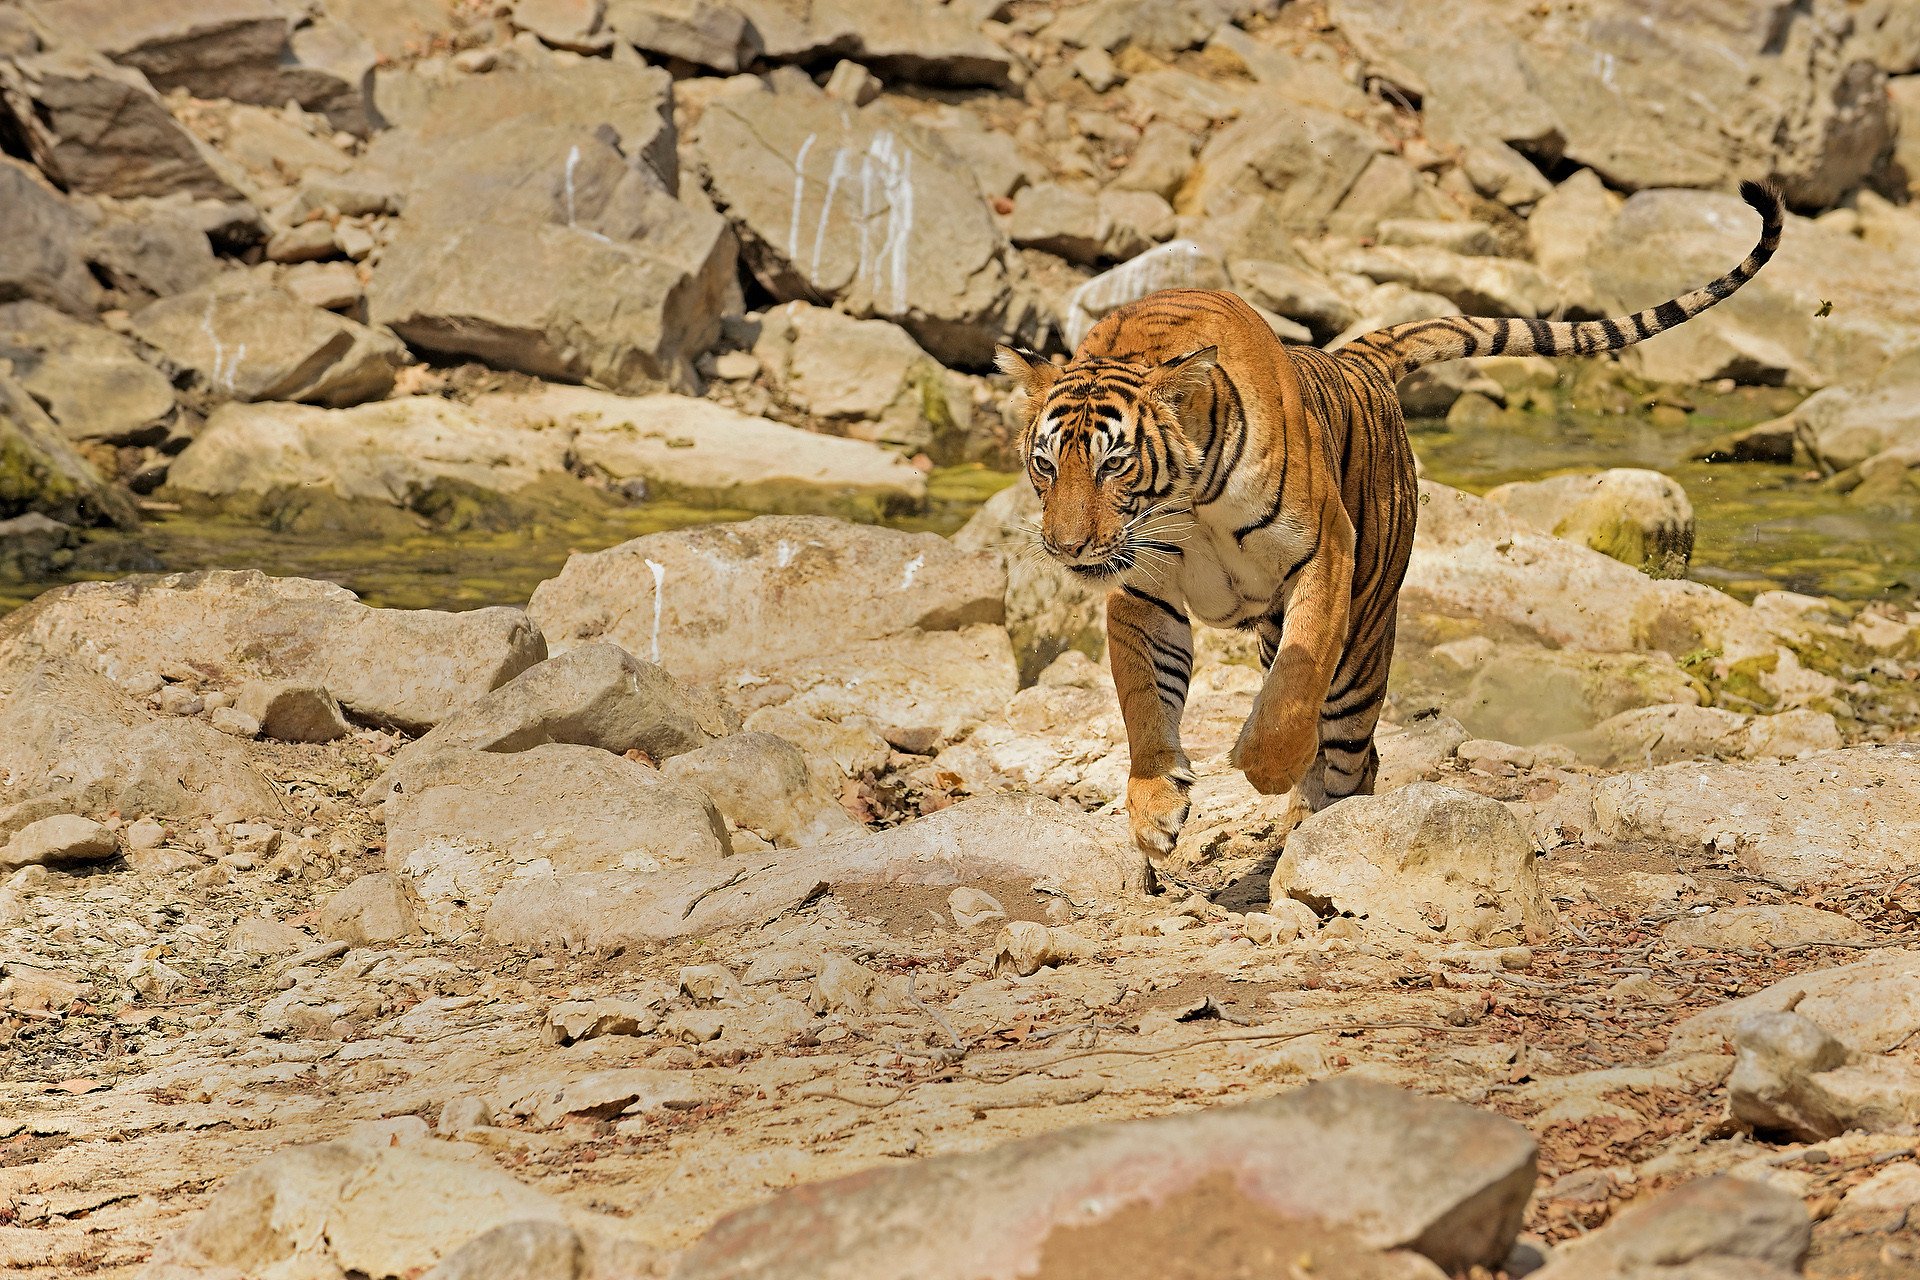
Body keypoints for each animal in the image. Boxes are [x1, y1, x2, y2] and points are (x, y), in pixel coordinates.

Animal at [995, 180, 1783, 876]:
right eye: (1044, 464)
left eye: (1113, 465)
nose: (1064, 547)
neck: (1186, 504)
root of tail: (1352, 356)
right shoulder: (1144, 590)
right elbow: (1142, 699)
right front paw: (1157, 808)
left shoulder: (1322, 554)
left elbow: (1294, 687)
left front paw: (1262, 765)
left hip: (1363, 639)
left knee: (1352, 750)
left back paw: (1314, 831)